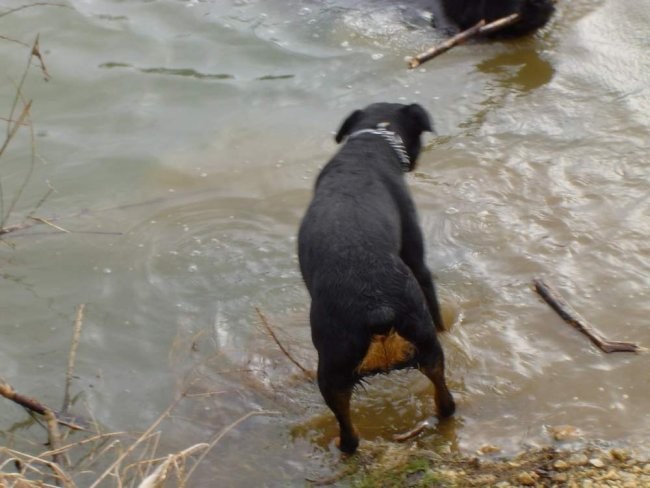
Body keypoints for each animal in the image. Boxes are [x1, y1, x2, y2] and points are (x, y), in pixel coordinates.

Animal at [296, 103, 454, 454]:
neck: (374, 139)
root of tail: (378, 308)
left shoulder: (417, 259)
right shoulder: (419, 265)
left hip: (335, 368)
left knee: (350, 432)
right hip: (426, 348)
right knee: (445, 401)